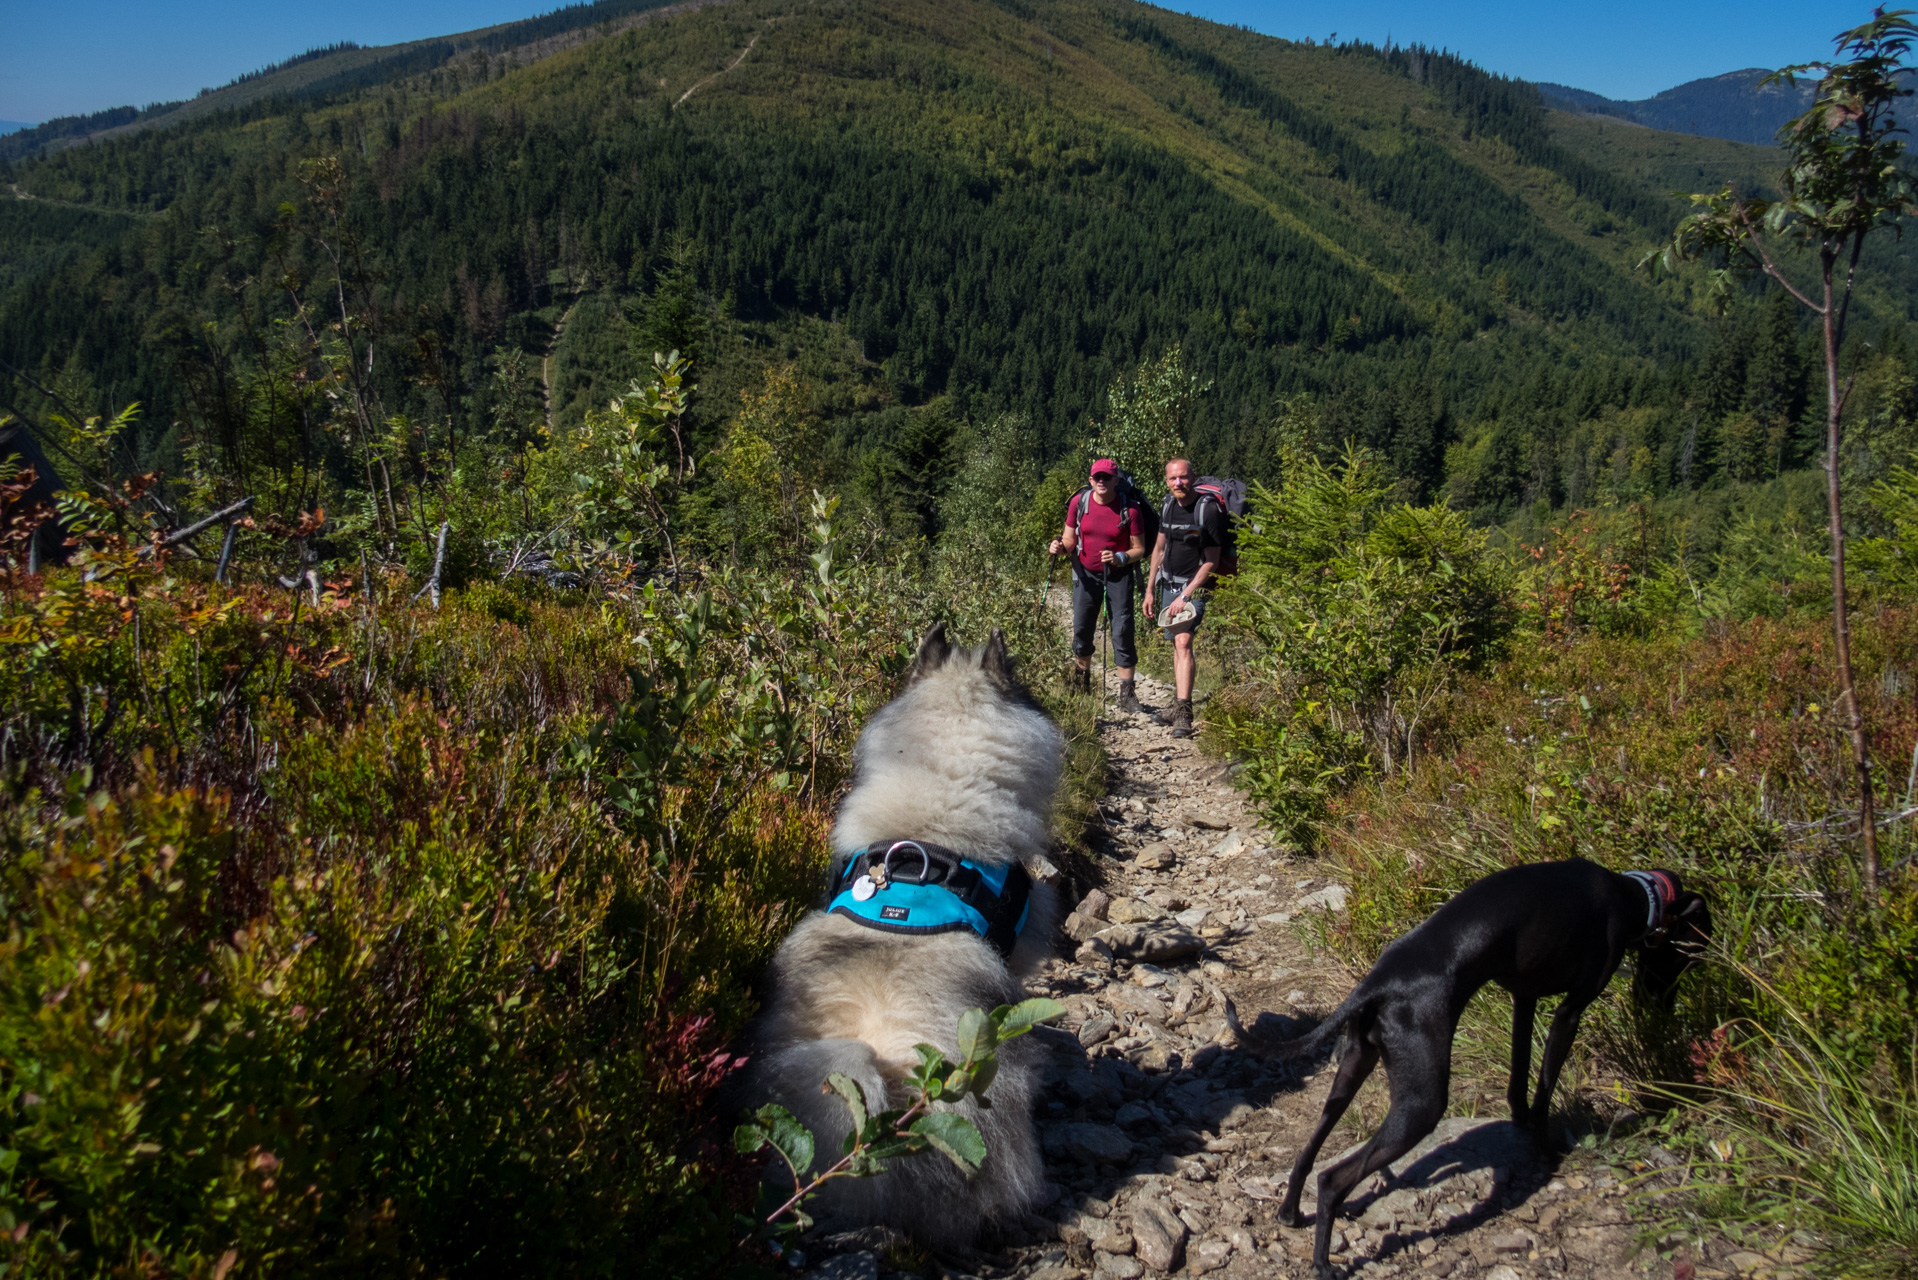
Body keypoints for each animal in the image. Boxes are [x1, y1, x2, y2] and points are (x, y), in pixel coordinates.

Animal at [1273, 855, 1710, 1274]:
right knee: (1332, 1179)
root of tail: (1381, 980)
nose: (1661, 1009)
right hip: (1422, 1104)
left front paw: (1520, 1121)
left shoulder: (1524, 998)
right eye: (1689, 954)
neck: (1633, 893)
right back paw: (1323, 1263)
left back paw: (1291, 1212)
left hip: (1354, 1066)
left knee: (1309, 1152)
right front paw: (1547, 1148)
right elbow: (1545, 1088)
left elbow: (1519, 1076)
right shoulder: (1569, 1013)